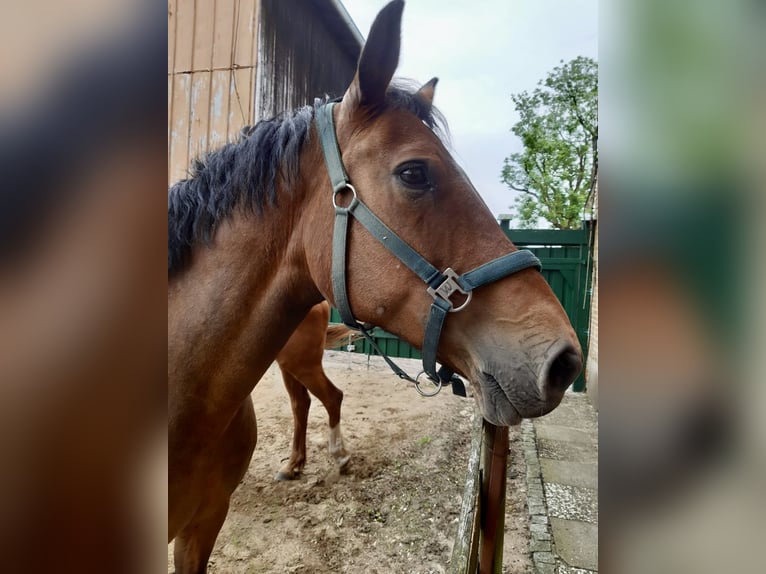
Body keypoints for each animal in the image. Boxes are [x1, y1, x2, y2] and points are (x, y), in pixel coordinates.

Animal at [276, 302, 360, 482]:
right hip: (290, 365)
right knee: (301, 404)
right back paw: (292, 465)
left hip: (300, 364)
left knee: (333, 397)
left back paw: (340, 456)